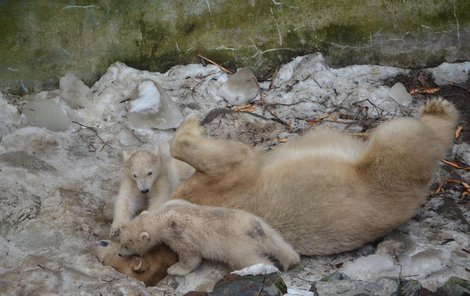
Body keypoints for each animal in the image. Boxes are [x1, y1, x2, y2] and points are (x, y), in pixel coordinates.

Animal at [117, 198, 302, 276]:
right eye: (121, 240)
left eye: (126, 245)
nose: (119, 253)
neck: (164, 217)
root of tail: (253, 230)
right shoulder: (176, 202)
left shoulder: (179, 234)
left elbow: (190, 255)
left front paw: (175, 269)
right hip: (262, 224)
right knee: (279, 244)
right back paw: (292, 260)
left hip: (237, 245)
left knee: (247, 258)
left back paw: (264, 267)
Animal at [170, 98, 458, 256]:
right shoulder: (222, 186)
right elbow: (235, 157)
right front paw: (190, 122)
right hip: (382, 176)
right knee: (402, 138)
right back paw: (438, 111)